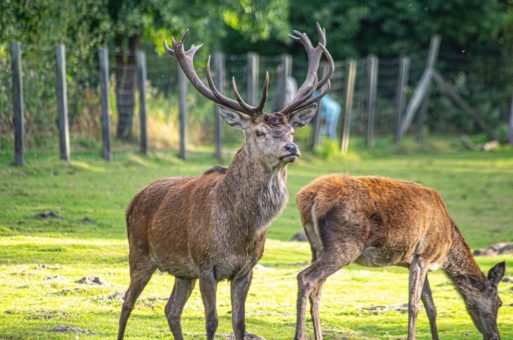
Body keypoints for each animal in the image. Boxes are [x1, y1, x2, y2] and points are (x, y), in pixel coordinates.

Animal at [116, 24, 334, 340]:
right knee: (127, 302)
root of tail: (133, 200)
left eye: (292, 131)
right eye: (258, 132)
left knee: (171, 309)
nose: (291, 148)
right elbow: (212, 321)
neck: (238, 231)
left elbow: (239, 323)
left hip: (183, 271)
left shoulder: (245, 269)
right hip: (141, 254)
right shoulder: (207, 265)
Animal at [294, 175, 502, 340]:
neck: (446, 249)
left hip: (316, 247)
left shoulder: (415, 262)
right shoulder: (423, 256)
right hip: (345, 246)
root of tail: (308, 198)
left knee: (317, 290)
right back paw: (300, 335)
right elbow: (414, 305)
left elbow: (431, 307)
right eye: (499, 303)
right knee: (305, 277)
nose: (495, 336)